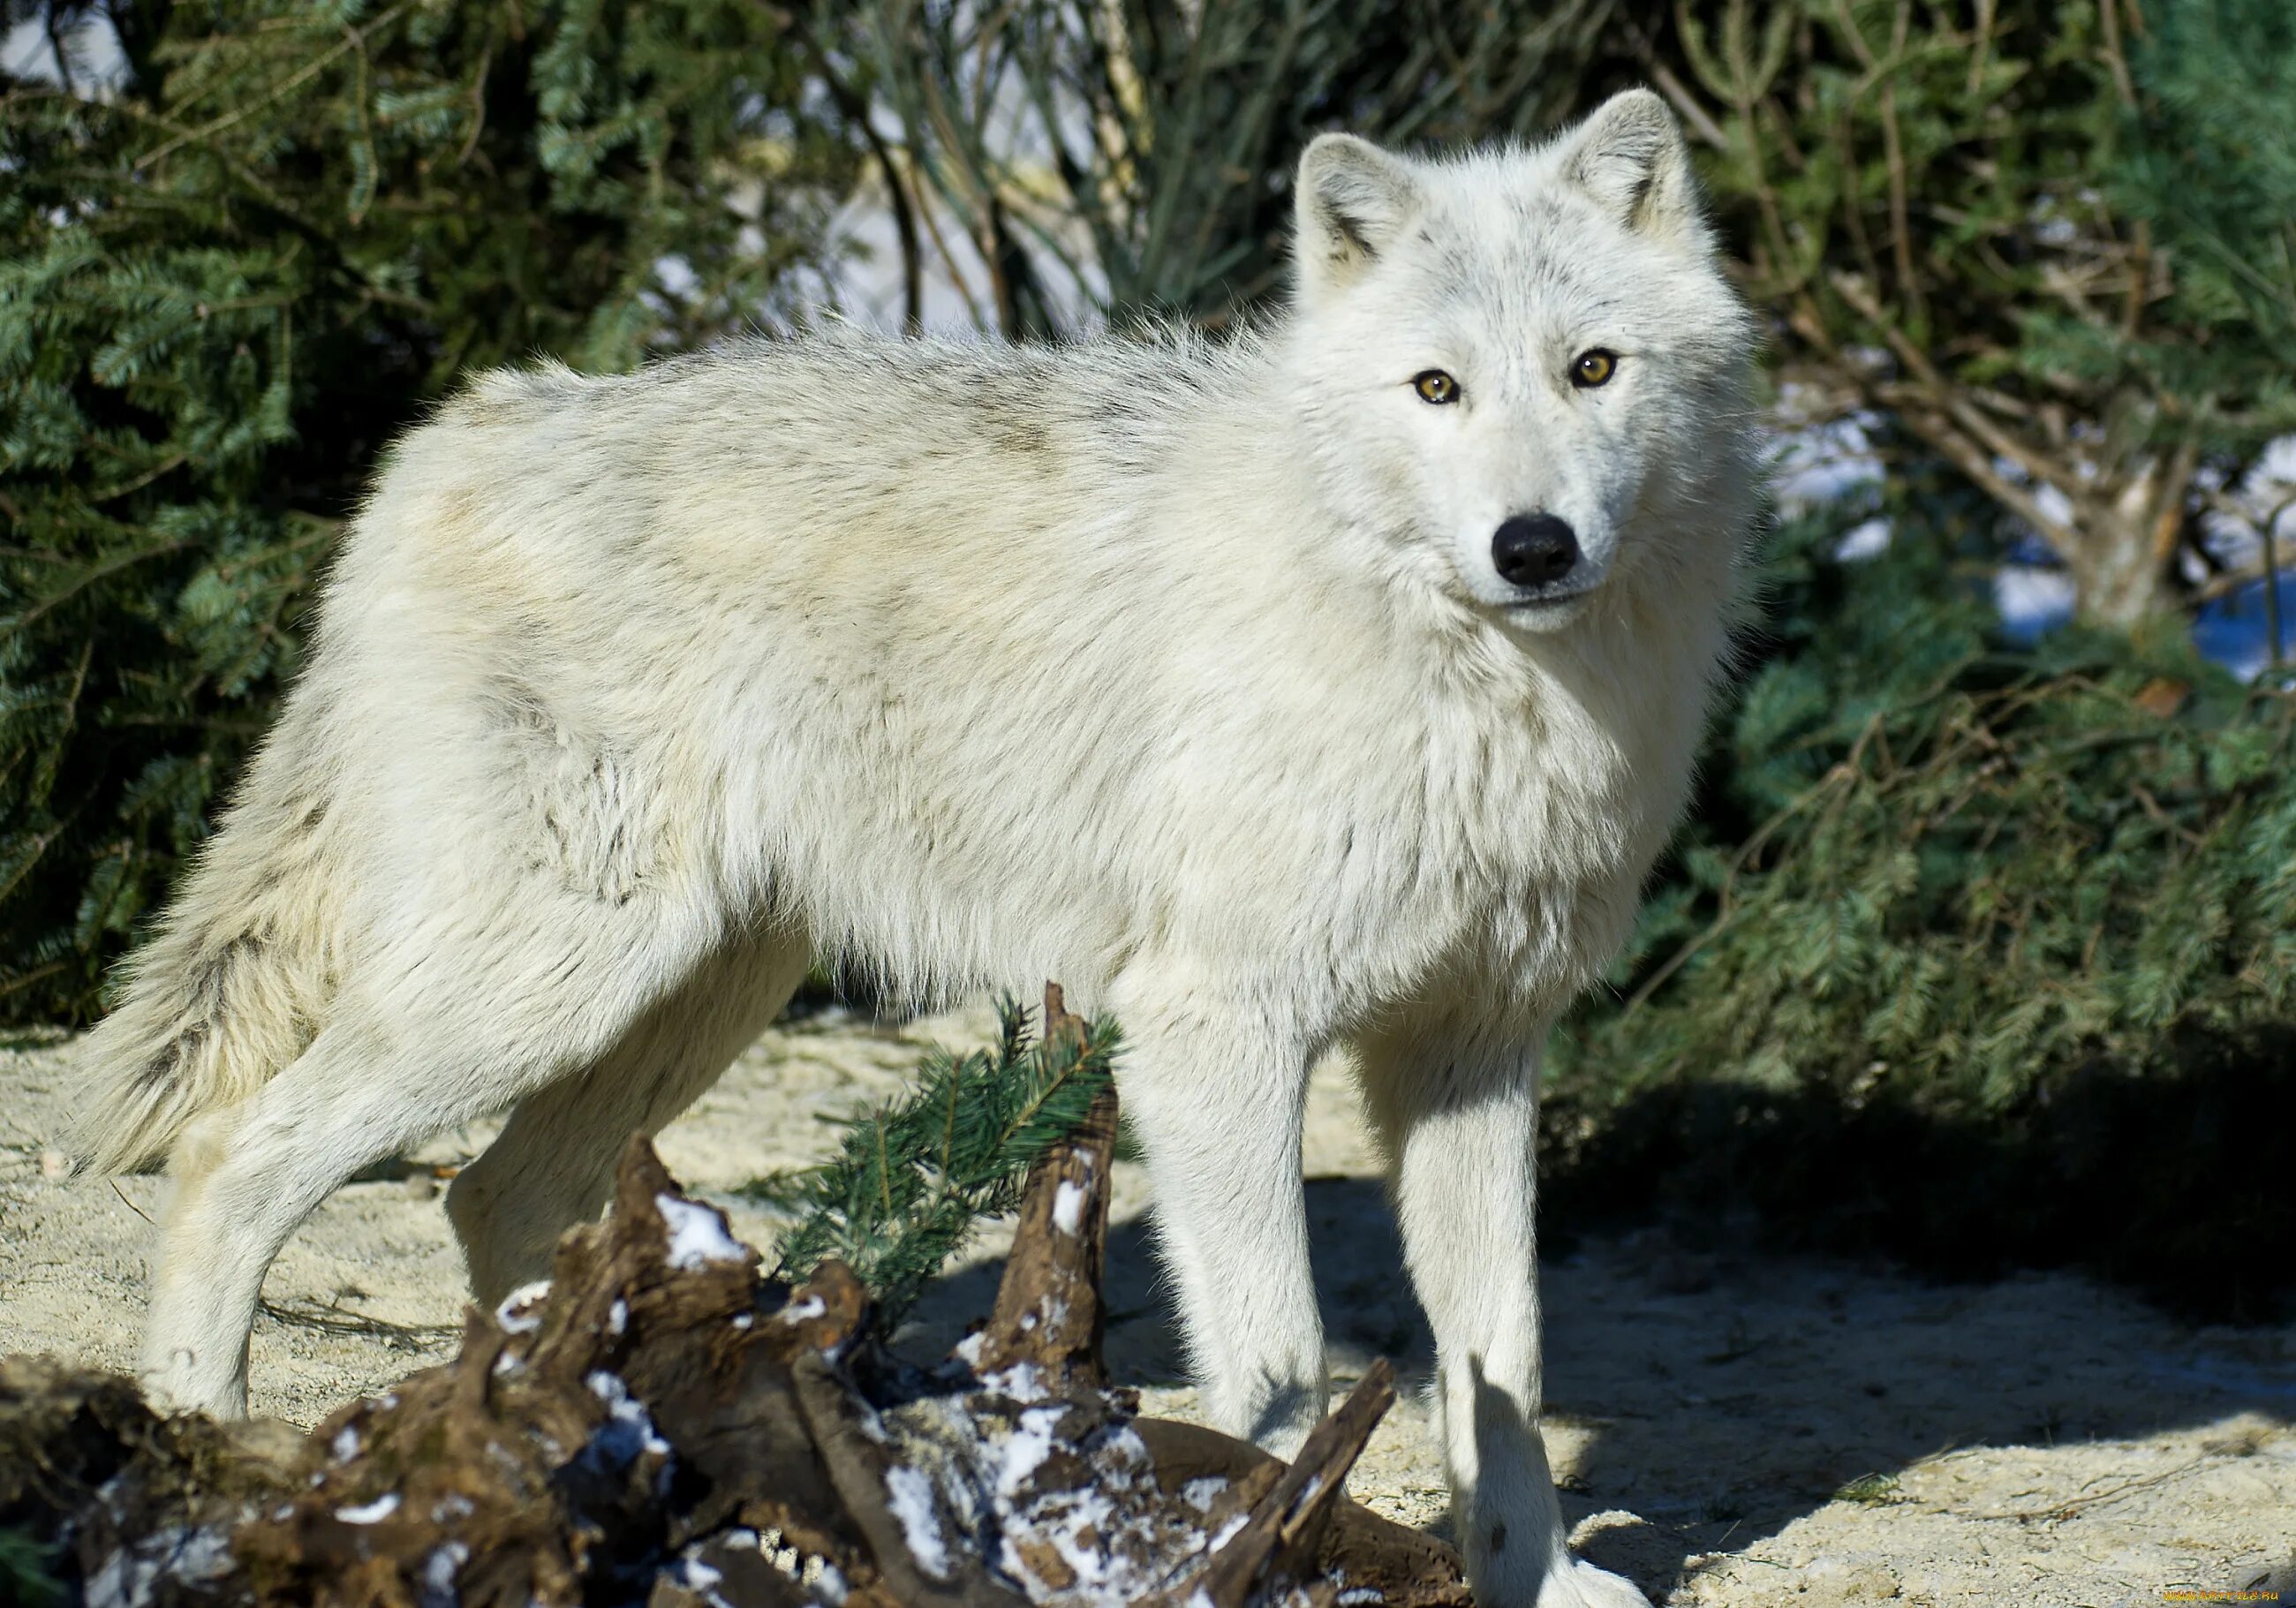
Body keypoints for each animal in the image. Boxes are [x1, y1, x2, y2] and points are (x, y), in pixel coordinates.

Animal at [72, 91, 1754, 1608]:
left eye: (1593, 369)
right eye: (1436, 388)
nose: (1532, 548)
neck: (1471, 678)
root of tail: (452, 434)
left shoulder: (1470, 1051)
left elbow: (1502, 1365)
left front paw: (1534, 1578)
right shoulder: (1216, 1027)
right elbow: (1277, 1366)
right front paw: (1254, 1556)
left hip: (680, 1002)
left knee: (491, 1203)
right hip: (543, 987)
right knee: (232, 1158)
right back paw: (209, 1461)